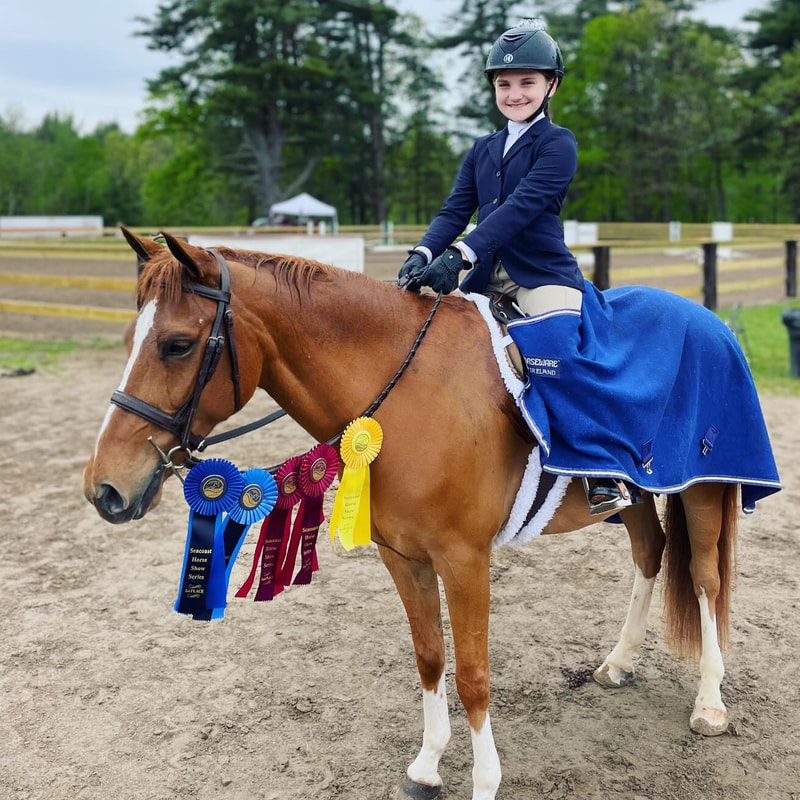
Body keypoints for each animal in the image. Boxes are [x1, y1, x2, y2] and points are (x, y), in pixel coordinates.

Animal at [84, 230, 740, 800]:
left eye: (177, 345)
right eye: (129, 340)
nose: (104, 490)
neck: (404, 392)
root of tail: (710, 321)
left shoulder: (465, 561)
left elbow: (473, 675)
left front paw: (484, 783)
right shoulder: (403, 556)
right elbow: (430, 659)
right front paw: (426, 768)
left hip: (704, 490)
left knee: (706, 581)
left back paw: (710, 704)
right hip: (639, 496)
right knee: (650, 554)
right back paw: (619, 664)